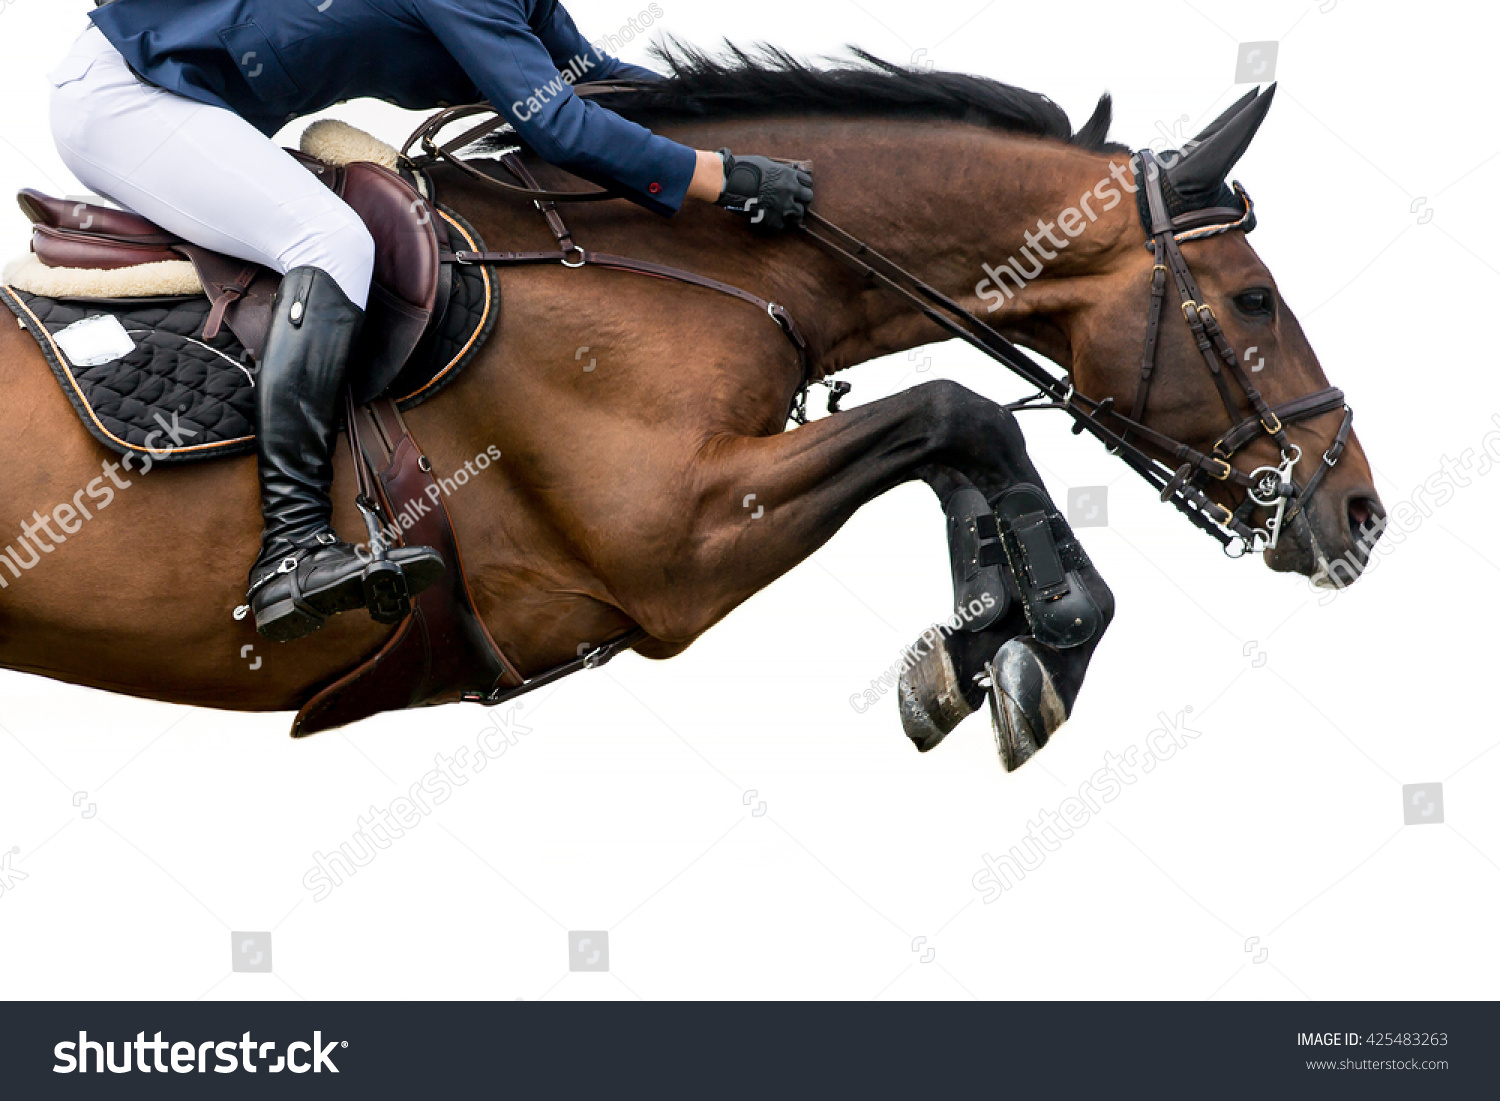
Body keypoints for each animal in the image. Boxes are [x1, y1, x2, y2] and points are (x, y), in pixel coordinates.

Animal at [0, 51, 1383, 763]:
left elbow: (950, 440)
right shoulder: (670, 545)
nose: (1357, 511)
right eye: (1254, 301)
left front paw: (982, 643)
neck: (672, 259)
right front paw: (1047, 642)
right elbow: (958, 413)